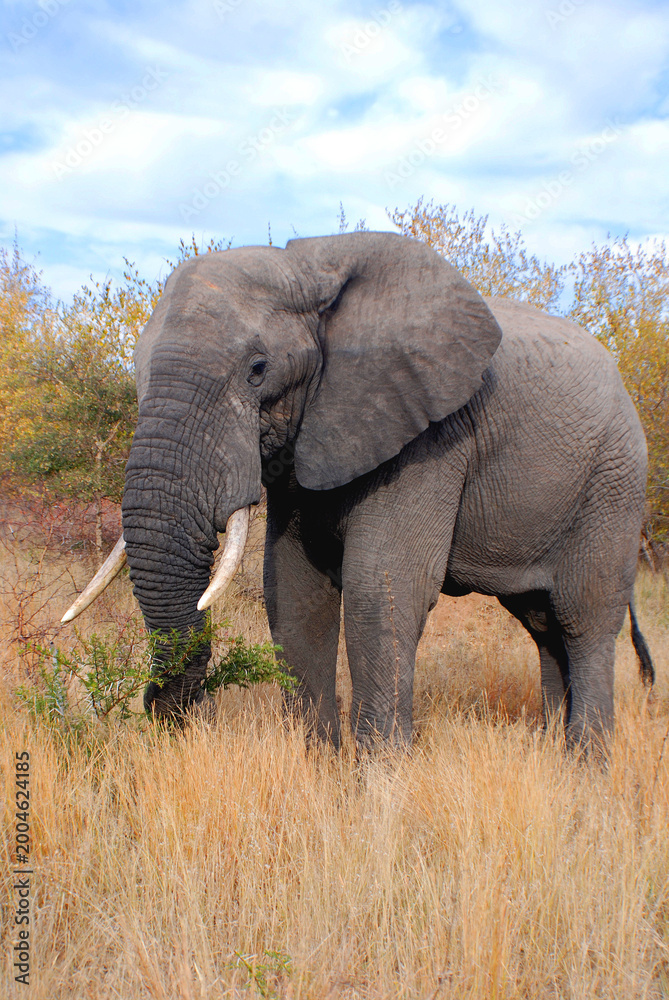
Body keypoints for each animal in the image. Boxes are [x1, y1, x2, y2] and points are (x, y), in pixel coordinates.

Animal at [62, 231, 654, 750]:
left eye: (258, 370)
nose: (158, 704)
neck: (306, 268)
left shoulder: (429, 436)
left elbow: (382, 588)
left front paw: (382, 784)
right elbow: (293, 592)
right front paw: (320, 768)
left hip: (614, 479)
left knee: (584, 618)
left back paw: (585, 767)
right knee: (542, 623)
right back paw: (553, 750)